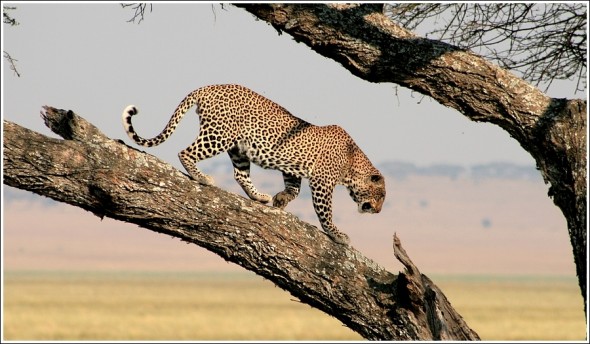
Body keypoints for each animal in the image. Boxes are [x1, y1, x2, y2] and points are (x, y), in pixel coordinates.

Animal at [122, 84, 386, 245]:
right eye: (381, 195)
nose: (379, 211)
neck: (352, 163)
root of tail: (207, 87)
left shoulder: (293, 169)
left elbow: (294, 188)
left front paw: (280, 200)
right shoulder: (322, 183)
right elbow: (325, 212)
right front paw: (338, 235)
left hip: (238, 148)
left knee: (240, 175)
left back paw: (259, 196)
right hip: (219, 135)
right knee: (184, 152)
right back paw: (202, 178)